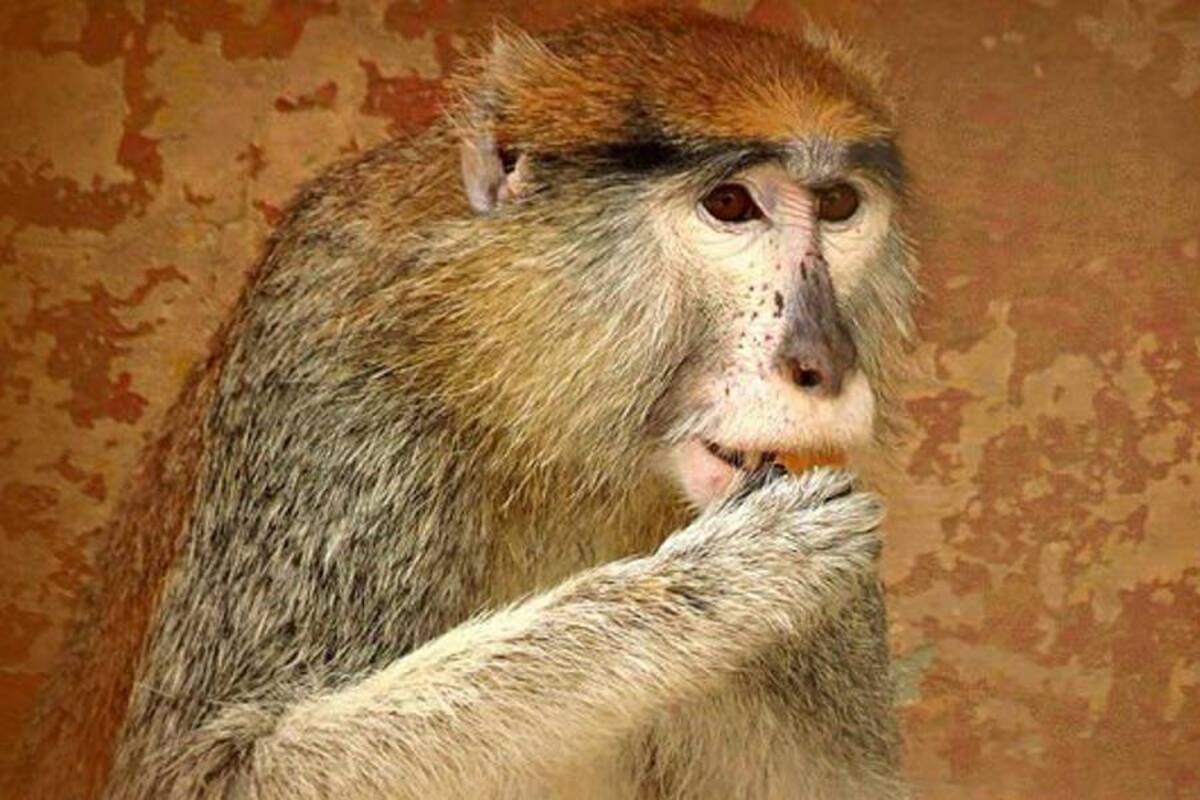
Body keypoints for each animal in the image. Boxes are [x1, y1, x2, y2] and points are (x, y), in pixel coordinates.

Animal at [17, 8, 918, 799]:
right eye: (731, 205)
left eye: (838, 205)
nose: (823, 364)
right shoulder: (340, 407)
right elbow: (220, 771)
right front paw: (723, 582)